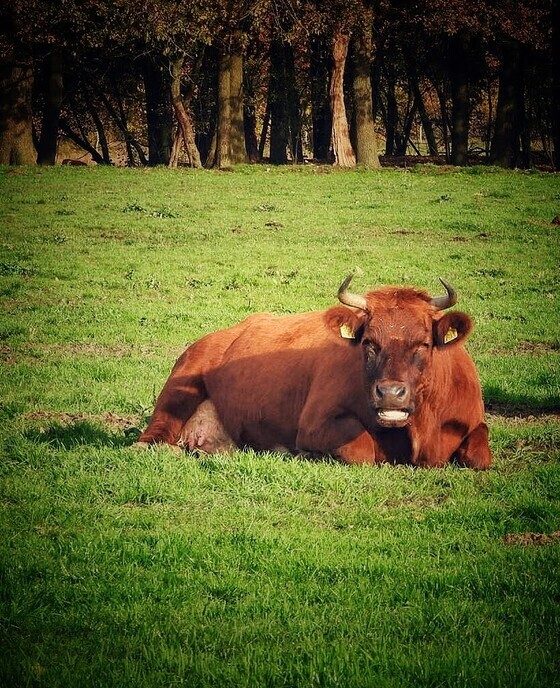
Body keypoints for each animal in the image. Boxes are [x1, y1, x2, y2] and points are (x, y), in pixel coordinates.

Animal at [136, 275, 492, 468]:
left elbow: (480, 456)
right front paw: (305, 454)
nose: (390, 393)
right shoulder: (316, 423)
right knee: (151, 441)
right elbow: (362, 450)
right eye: (369, 343)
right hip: (178, 391)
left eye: (423, 344)